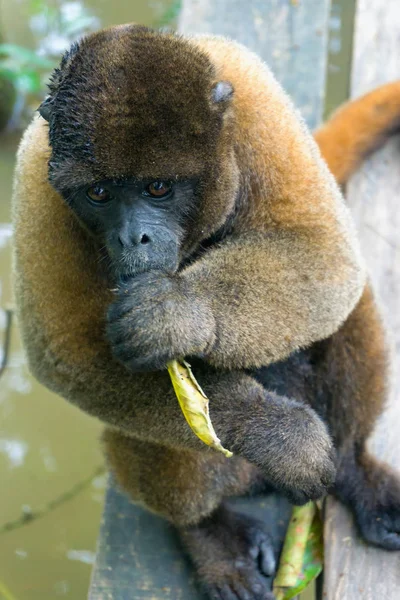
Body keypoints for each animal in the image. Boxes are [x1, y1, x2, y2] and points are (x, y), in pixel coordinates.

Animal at [10, 27, 400, 600]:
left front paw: (179, 314)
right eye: (99, 193)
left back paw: (354, 466)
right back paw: (209, 534)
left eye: (158, 188)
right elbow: (71, 354)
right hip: (229, 472)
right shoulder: (34, 180)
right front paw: (282, 438)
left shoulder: (258, 100)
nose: (132, 237)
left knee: (346, 305)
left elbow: (322, 249)